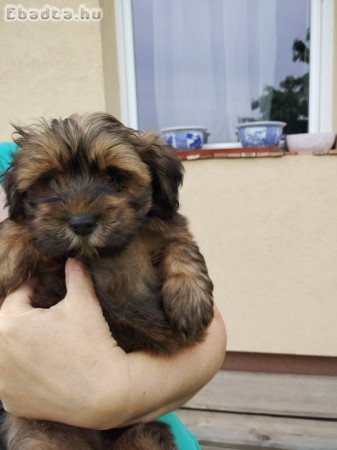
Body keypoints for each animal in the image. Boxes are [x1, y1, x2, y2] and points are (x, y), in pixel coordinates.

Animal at [0, 113, 213, 450]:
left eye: (114, 176)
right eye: (50, 179)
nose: (81, 223)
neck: (103, 254)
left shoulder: (167, 229)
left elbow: (182, 247)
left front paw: (190, 300)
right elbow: (20, 226)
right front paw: (4, 253)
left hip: (146, 433)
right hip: (39, 434)